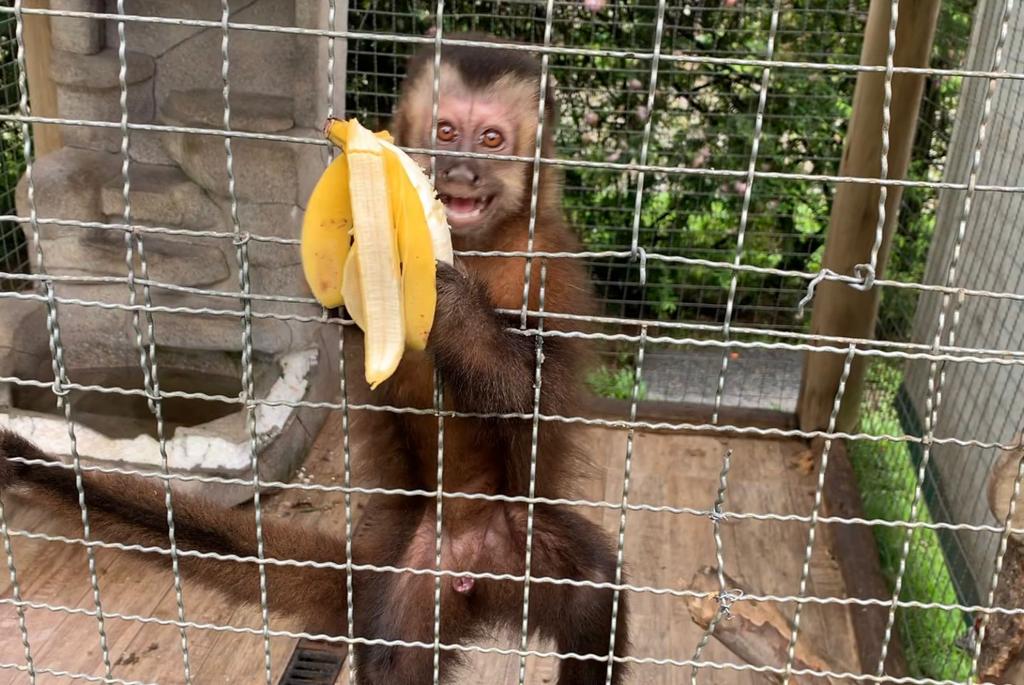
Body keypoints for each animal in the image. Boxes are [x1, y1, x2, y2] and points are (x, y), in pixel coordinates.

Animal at [0, 33, 630, 684]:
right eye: (447, 131)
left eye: (491, 140)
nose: (461, 171)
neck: (474, 246)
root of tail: (472, 569)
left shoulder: (549, 262)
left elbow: (535, 395)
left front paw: (447, 303)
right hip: (421, 567)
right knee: (395, 661)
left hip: (516, 543)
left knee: (592, 592)